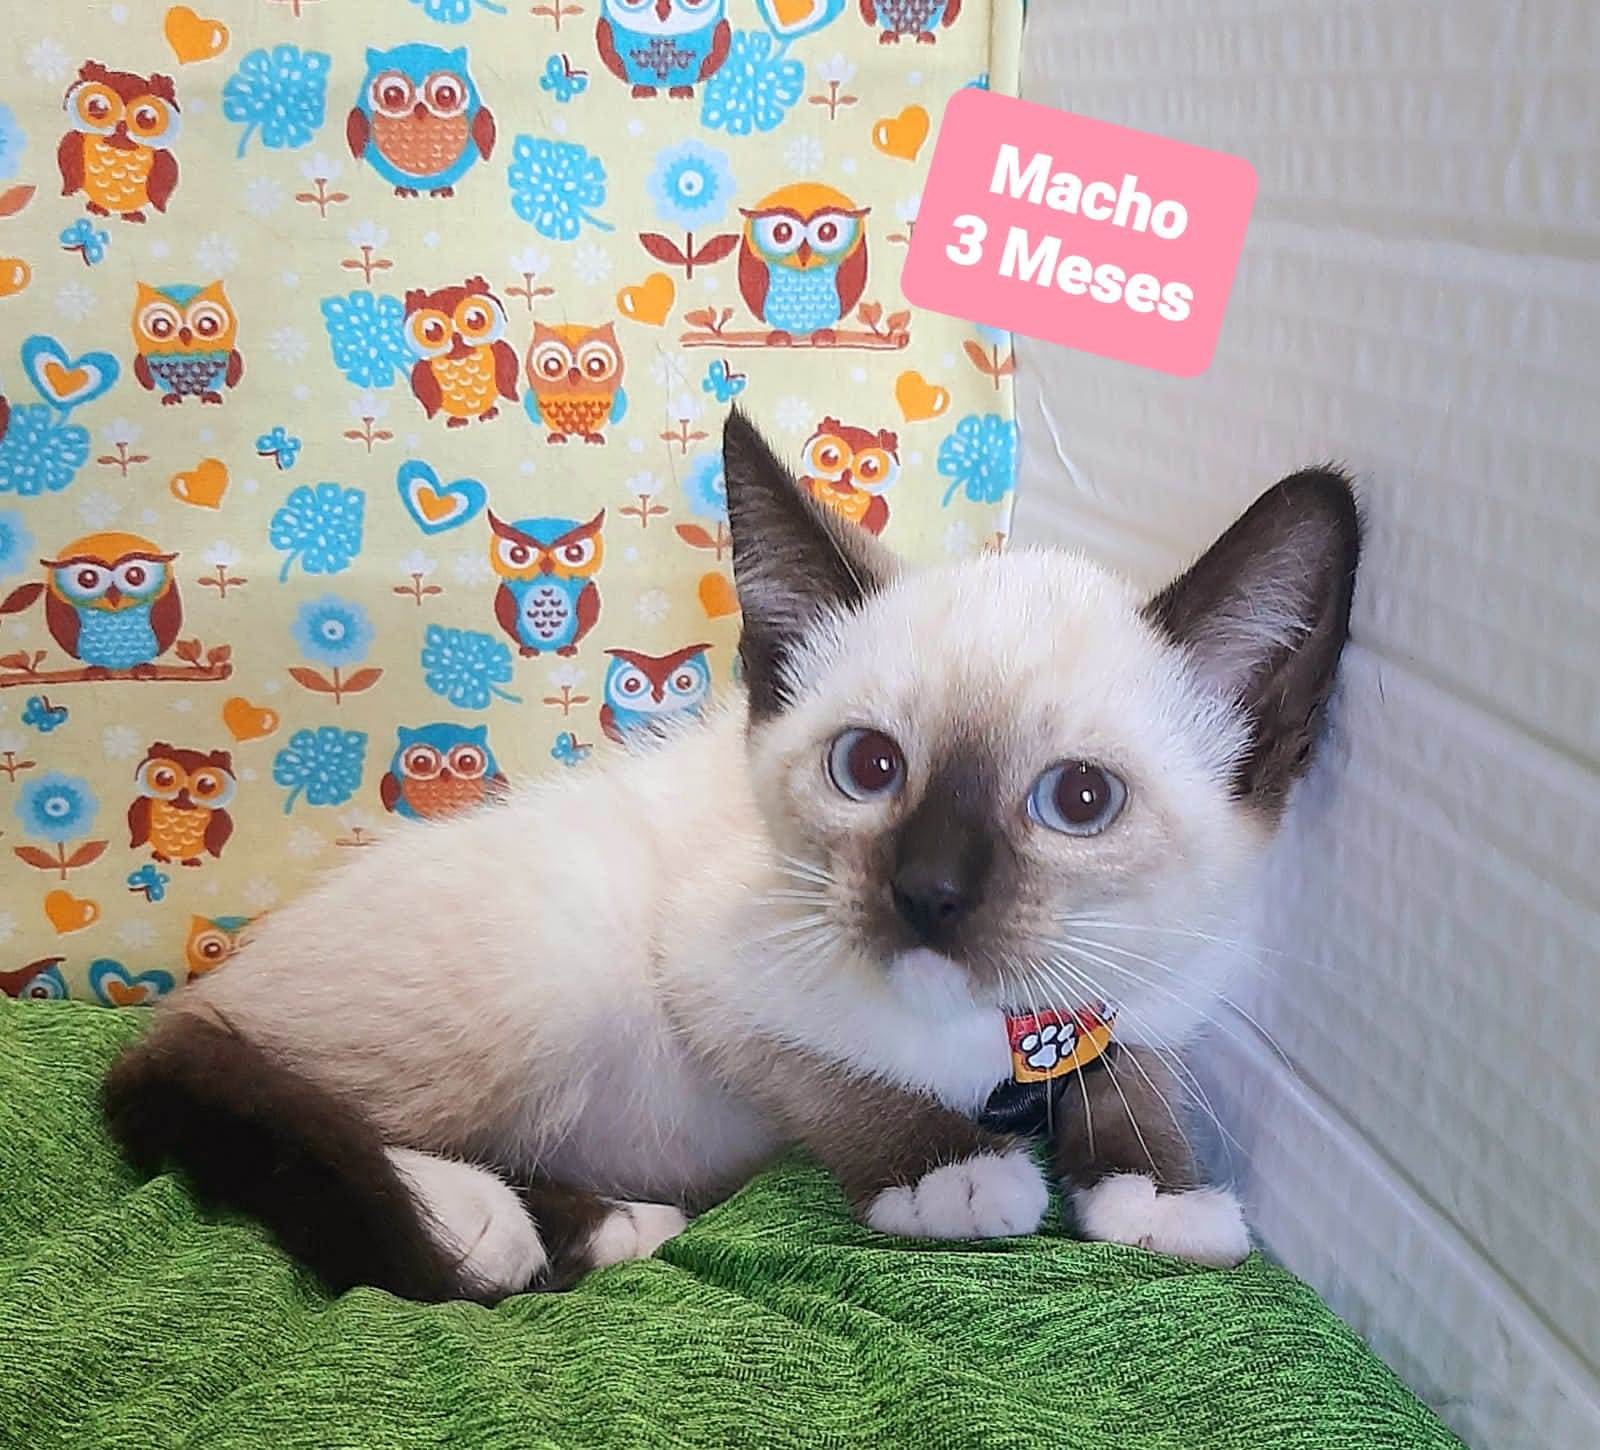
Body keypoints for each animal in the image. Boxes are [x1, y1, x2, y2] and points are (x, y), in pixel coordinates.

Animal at [104, 409, 1359, 1303]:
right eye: (868, 768)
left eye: (1080, 799)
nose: (927, 894)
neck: (999, 1038)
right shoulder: (716, 983)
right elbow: (843, 1079)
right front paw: (953, 1177)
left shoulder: (1153, 984)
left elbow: (1127, 1072)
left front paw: (1161, 1201)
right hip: (561, 955)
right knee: (245, 1083)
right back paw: (515, 1225)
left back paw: (611, 1226)